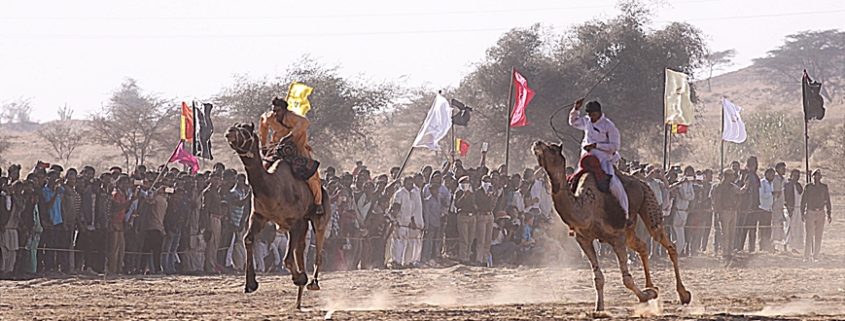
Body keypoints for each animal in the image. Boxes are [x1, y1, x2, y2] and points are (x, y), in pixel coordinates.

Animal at [224, 121, 330, 308]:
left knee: (318, 250)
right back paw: (298, 300)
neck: (272, 188)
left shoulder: (295, 221)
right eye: (236, 126)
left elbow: (287, 259)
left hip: (319, 218)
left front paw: (299, 278)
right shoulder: (258, 216)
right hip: (300, 225)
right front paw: (250, 284)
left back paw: (312, 283)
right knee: (301, 249)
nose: (230, 131)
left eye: (246, 130)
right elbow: (248, 239)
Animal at [536, 140, 692, 310]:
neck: (587, 206)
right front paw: (599, 307)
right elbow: (598, 277)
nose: (537, 143)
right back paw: (651, 286)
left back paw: (683, 294)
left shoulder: (616, 237)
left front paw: (646, 295)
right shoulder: (584, 239)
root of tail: (642, 182)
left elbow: (627, 279)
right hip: (629, 230)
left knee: (666, 242)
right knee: (643, 246)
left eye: (552, 149)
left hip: (649, 202)